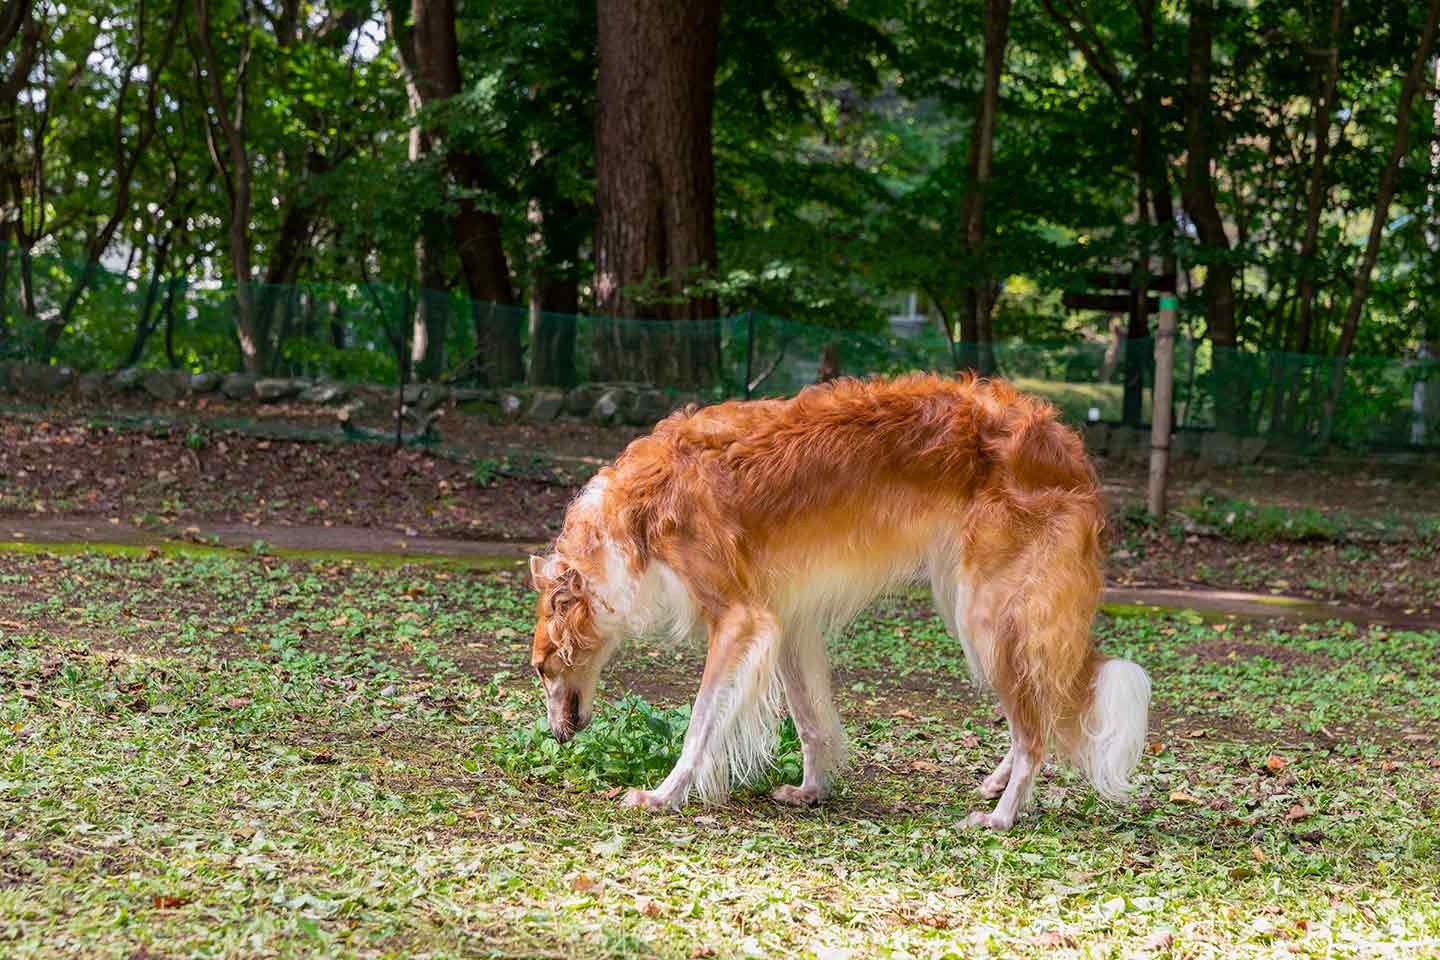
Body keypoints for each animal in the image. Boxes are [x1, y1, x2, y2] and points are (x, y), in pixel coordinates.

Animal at [529, 371, 1146, 829]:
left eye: (541, 668)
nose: (559, 736)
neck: (636, 514)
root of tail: (1067, 446)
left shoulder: (740, 618)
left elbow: (702, 720)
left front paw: (663, 796)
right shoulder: (785, 619)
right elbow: (810, 721)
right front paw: (812, 789)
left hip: (990, 614)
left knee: (1035, 732)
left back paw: (1001, 815)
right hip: (978, 610)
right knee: (1034, 716)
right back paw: (995, 783)